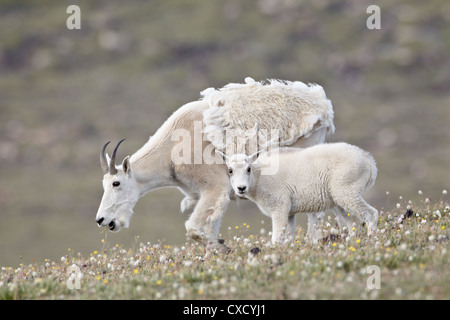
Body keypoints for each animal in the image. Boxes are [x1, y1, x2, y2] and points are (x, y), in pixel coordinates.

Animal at [95, 77, 334, 252]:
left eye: (116, 183)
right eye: (104, 184)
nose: (101, 220)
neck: (171, 149)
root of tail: (323, 106)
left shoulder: (215, 187)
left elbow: (192, 228)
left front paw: (222, 247)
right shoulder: (210, 194)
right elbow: (209, 227)